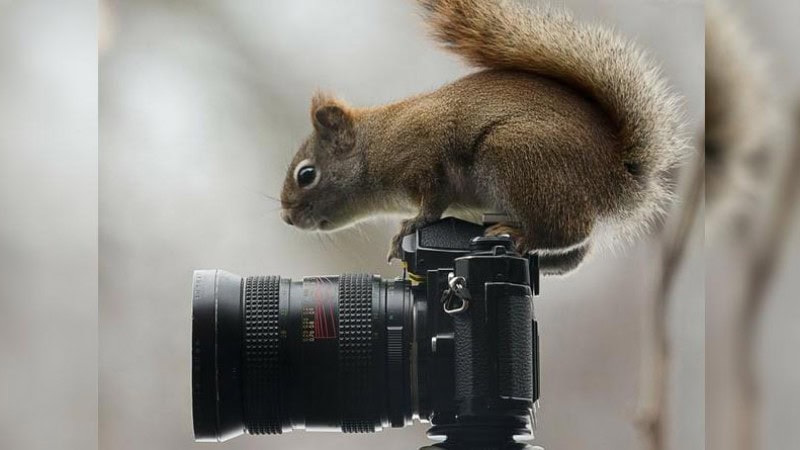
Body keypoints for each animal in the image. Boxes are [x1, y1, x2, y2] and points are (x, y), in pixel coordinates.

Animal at [279, 0, 688, 275]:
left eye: (306, 174)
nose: (287, 218)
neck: (377, 143)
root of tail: (619, 173)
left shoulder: (424, 158)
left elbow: (432, 203)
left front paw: (411, 226)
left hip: (515, 158)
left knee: (566, 229)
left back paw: (521, 239)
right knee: (576, 253)